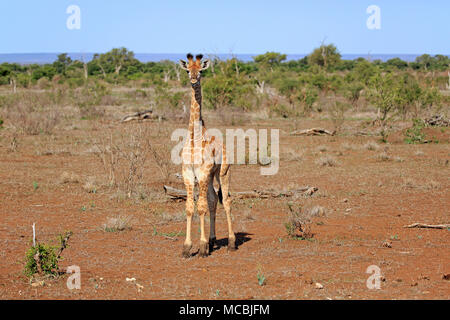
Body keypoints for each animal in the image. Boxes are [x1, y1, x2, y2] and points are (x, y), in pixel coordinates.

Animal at [178, 52, 237, 258]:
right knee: (213, 201)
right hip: (210, 177)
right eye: (188, 70)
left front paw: (202, 247)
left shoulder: (202, 173)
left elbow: (201, 207)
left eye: (201, 71)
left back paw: (231, 242)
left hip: (223, 172)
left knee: (226, 200)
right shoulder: (189, 173)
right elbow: (190, 208)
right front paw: (187, 247)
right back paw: (213, 240)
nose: (194, 79)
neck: (195, 138)